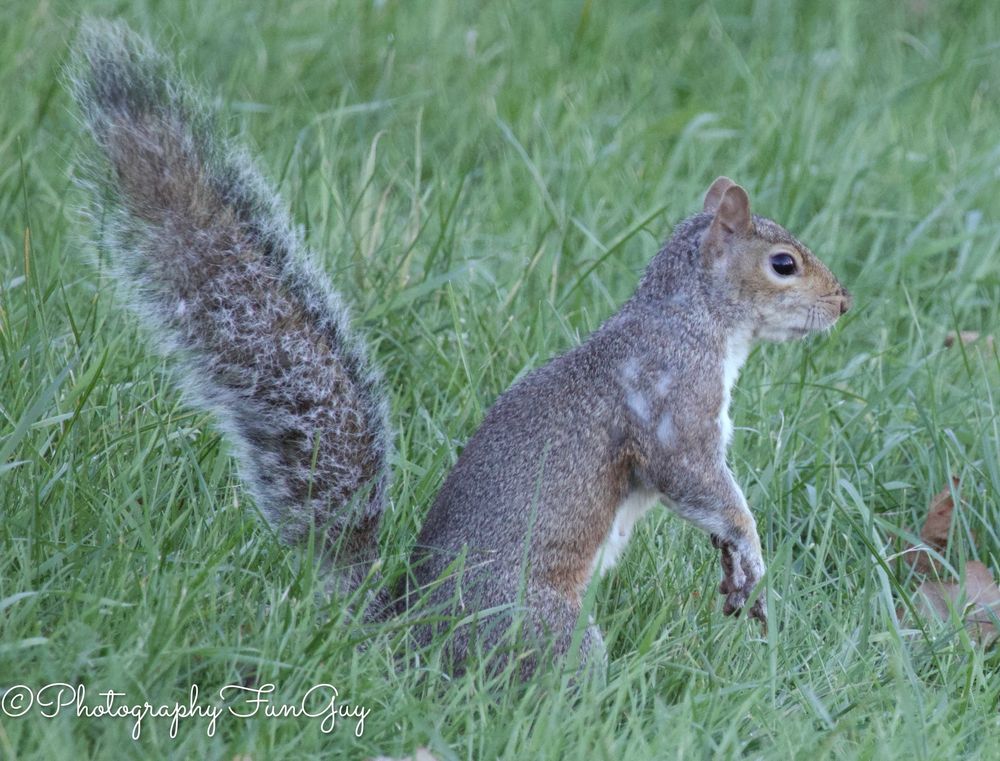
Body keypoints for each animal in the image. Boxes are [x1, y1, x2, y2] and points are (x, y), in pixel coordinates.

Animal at [69, 20, 851, 679]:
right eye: (783, 263)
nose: (843, 303)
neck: (695, 318)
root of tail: (403, 632)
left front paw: (735, 570)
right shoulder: (672, 403)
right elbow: (697, 481)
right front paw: (749, 547)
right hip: (544, 627)